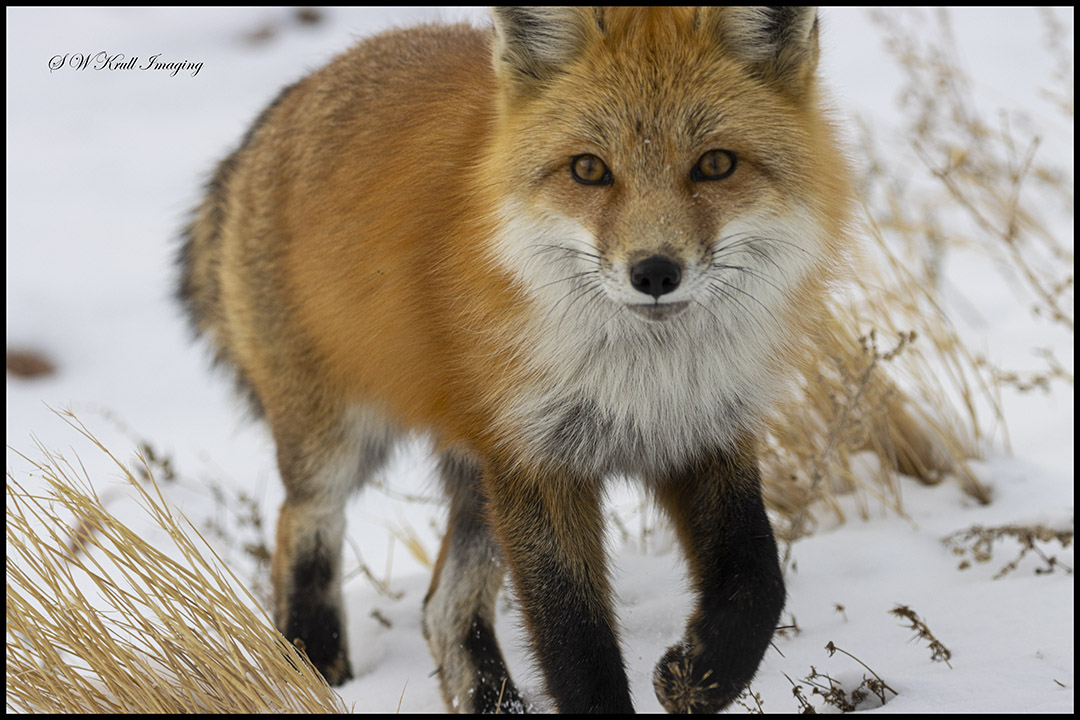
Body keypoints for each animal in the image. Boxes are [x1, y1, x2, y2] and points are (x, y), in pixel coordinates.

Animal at [178, 6, 855, 714]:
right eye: (589, 170)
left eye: (716, 164)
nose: (654, 273)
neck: (645, 383)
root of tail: (285, 100)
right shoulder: (535, 459)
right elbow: (574, 638)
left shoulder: (705, 432)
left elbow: (760, 581)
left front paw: (698, 675)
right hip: (341, 440)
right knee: (302, 523)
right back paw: (313, 660)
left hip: (477, 479)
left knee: (441, 608)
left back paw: (489, 697)